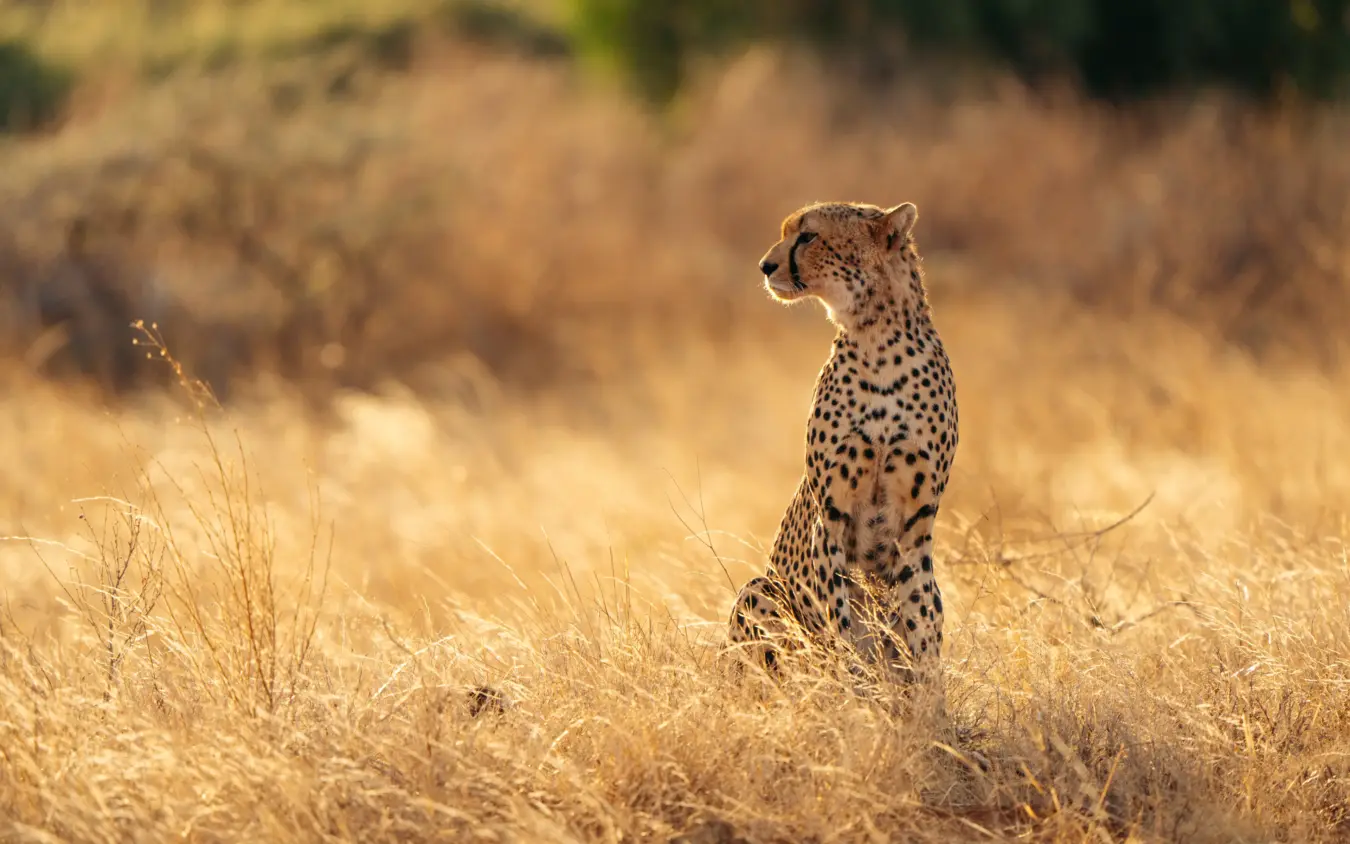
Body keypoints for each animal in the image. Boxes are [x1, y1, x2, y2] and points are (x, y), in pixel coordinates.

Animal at [727, 200, 959, 703]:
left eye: (809, 236)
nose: (766, 266)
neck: (878, 339)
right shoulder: (830, 517)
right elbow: (841, 622)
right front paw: (854, 696)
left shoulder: (916, 528)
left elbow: (921, 628)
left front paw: (929, 709)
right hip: (761, 587)